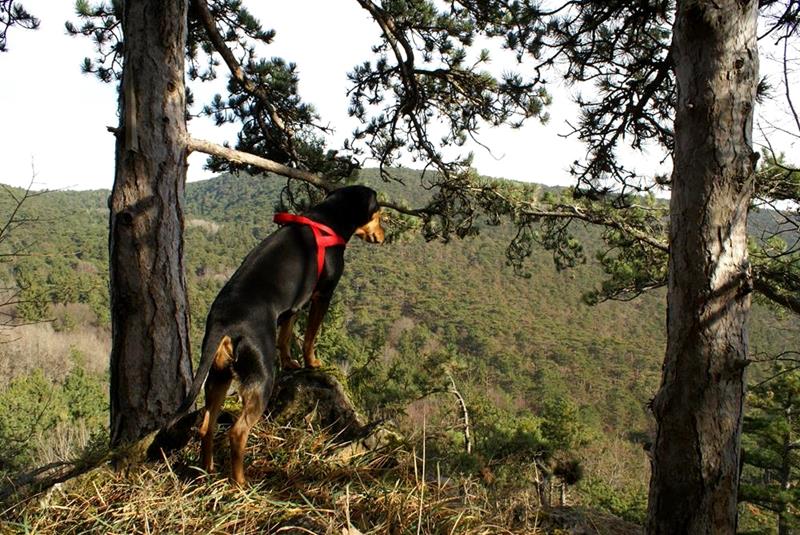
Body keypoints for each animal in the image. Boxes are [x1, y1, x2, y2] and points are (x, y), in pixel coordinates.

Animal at [173, 186, 384, 488]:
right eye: (379, 212)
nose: (383, 236)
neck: (327, 220)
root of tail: (224, 324)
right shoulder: (322, 295)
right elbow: (310, 337)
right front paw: (312, 363)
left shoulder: (294, 305)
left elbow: (286, 337)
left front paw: (291, 363)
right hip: (261, 379)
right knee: (237, 432)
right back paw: (241, 484)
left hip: (218, 377)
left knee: (206, 426)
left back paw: (208, 471)